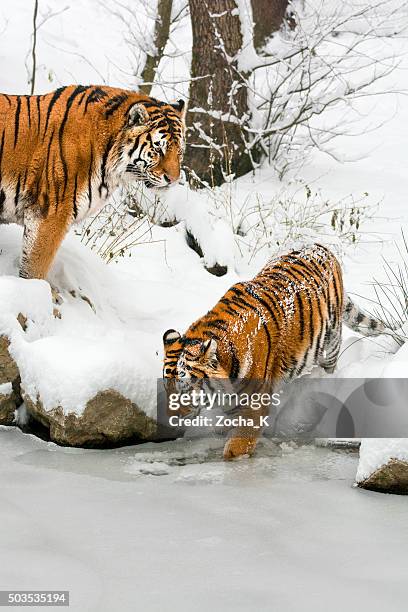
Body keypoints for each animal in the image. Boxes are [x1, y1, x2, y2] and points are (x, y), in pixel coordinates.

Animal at [163, 244, 396, 460]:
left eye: (185, 391)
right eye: (167, 389)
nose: (171, 419)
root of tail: (320, 246)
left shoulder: (254, 404)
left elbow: (238, 445)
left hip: (331, 338)